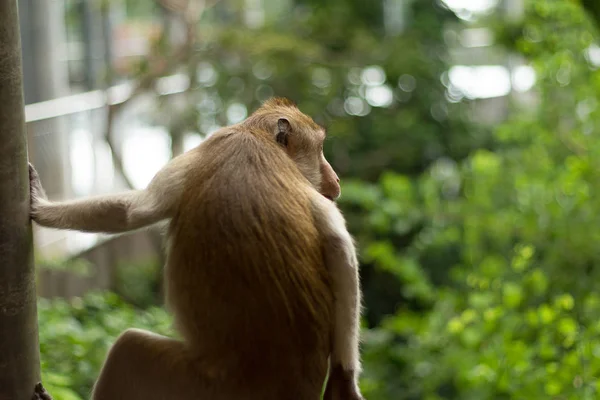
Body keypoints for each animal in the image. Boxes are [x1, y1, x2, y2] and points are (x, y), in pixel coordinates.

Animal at [30, 97, 364, 400]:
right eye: (319, 150)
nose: (335, 178)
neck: (255, 137)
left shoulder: (207, 146)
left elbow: (133, 212)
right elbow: (338, 244)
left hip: (195, 381)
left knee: (127, 348)